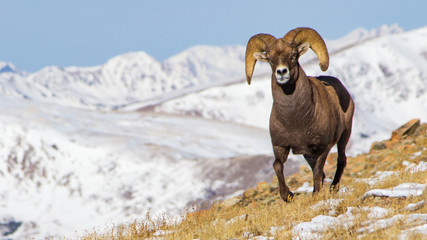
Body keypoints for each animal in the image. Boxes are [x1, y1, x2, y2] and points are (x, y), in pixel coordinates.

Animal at [246, 27, 356, 202]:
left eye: (293, 55)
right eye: (270, 59)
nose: (281, 72)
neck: (295, 119)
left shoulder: (323, 148)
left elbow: (317, 172)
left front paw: (315, 196)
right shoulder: (280, 146)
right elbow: (277, 166)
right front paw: (288, 196)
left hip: (344, 136)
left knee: (341, 160)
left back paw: (333, 189)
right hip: (308, 155)